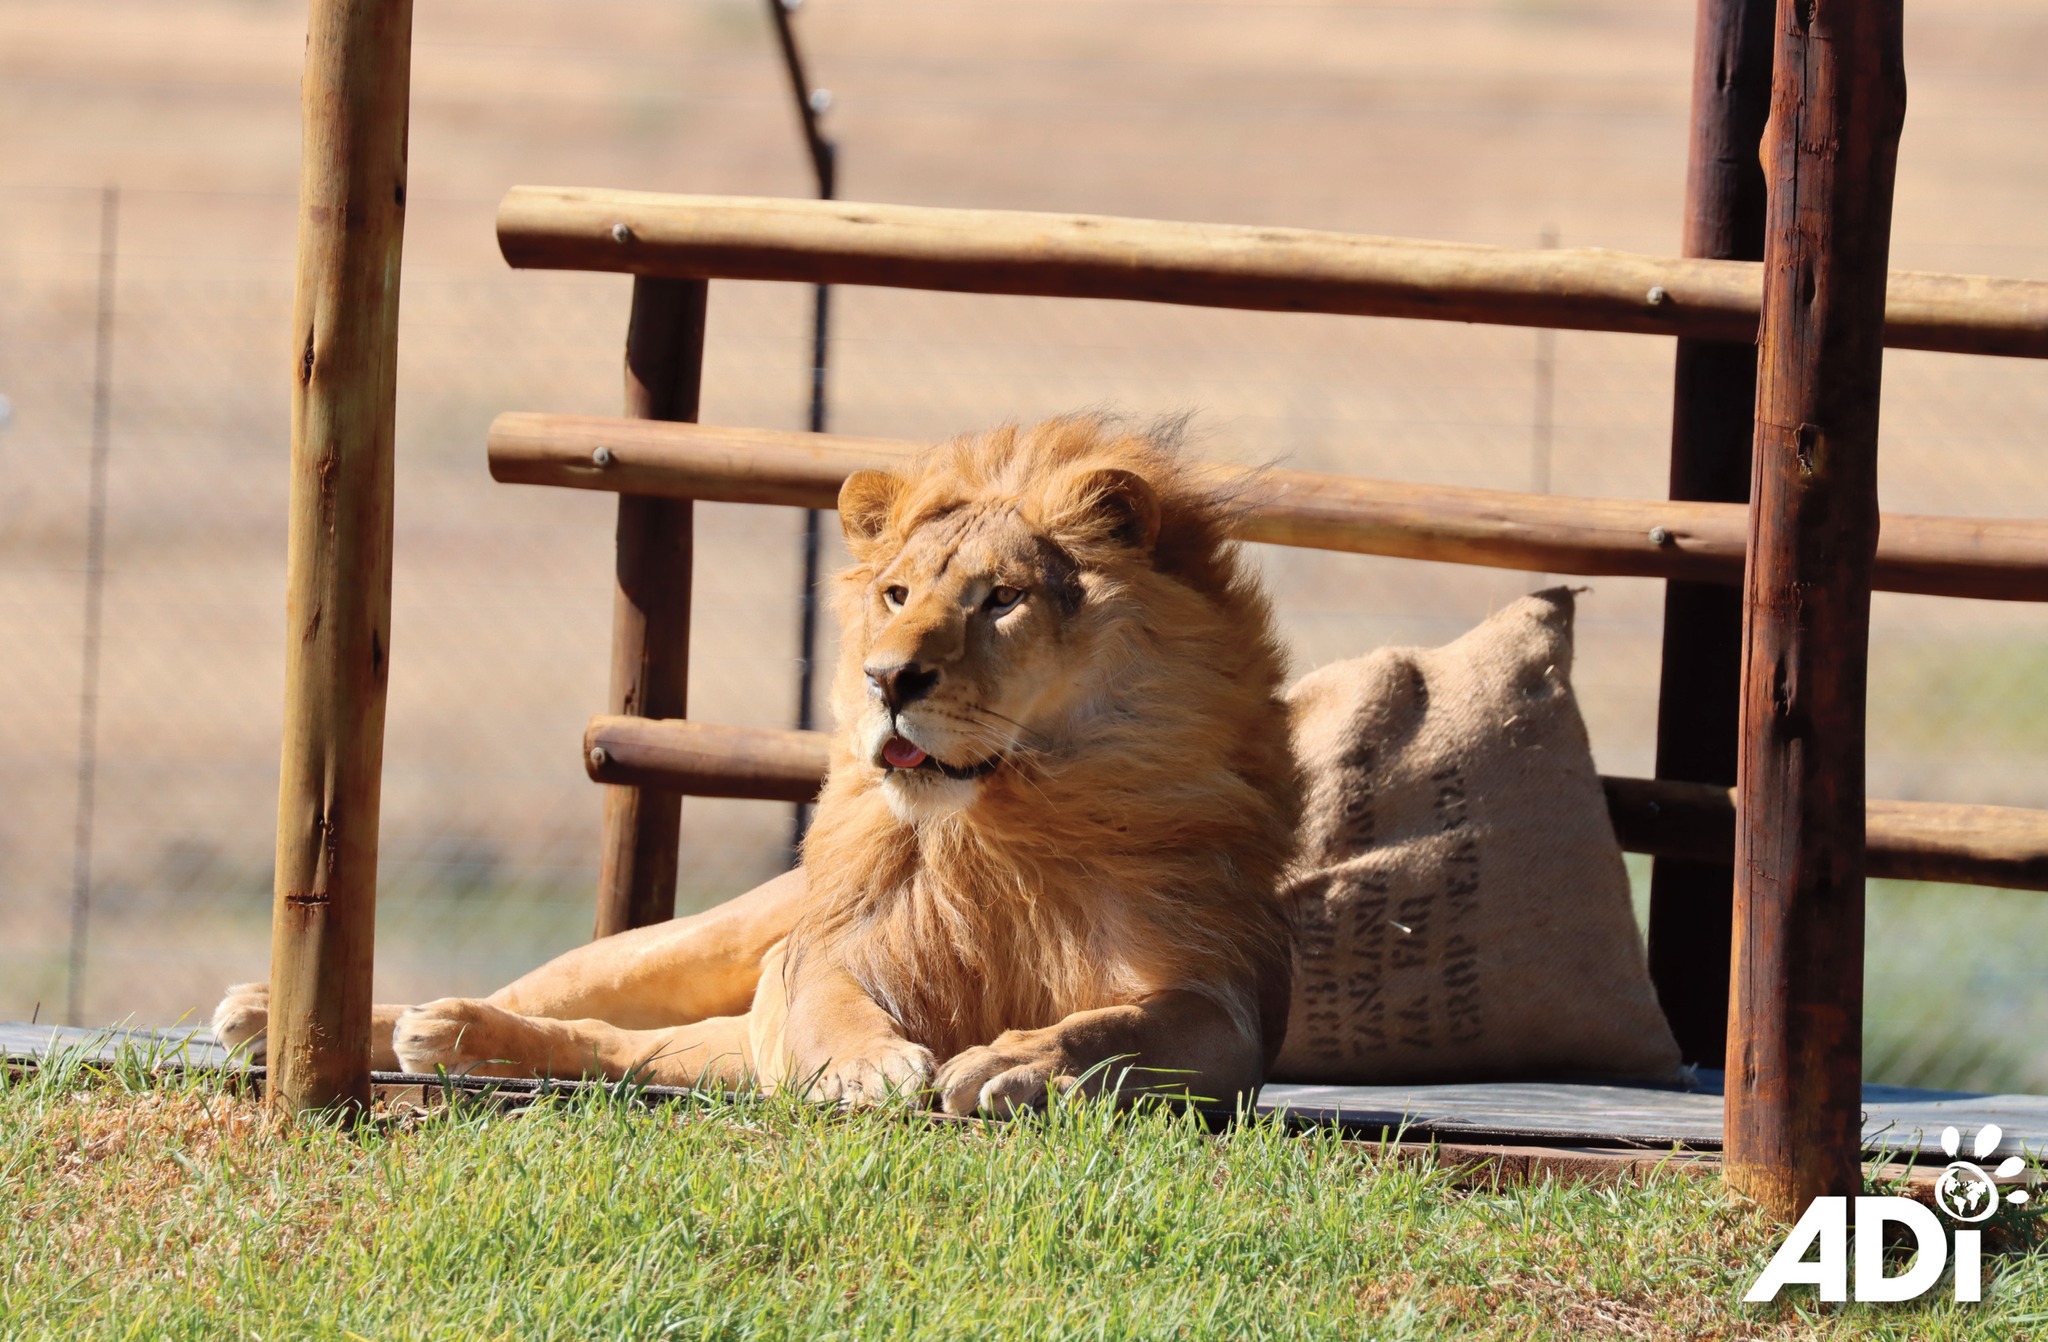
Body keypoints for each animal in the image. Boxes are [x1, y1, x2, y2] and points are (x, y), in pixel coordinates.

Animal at [215, 416, 1302, 1114]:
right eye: (898, 593)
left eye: (1000, 600)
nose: (887, 678)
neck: (1002, 819)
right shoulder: (820, 954)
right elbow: (830, 1000)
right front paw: (869, 1069)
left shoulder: (1217, 1002)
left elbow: (1114, 1027)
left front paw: (1019, 1063)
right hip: (704, 941)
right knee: (561, 994)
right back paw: (296, 1016)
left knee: (625, 1051)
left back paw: (448, 1038)